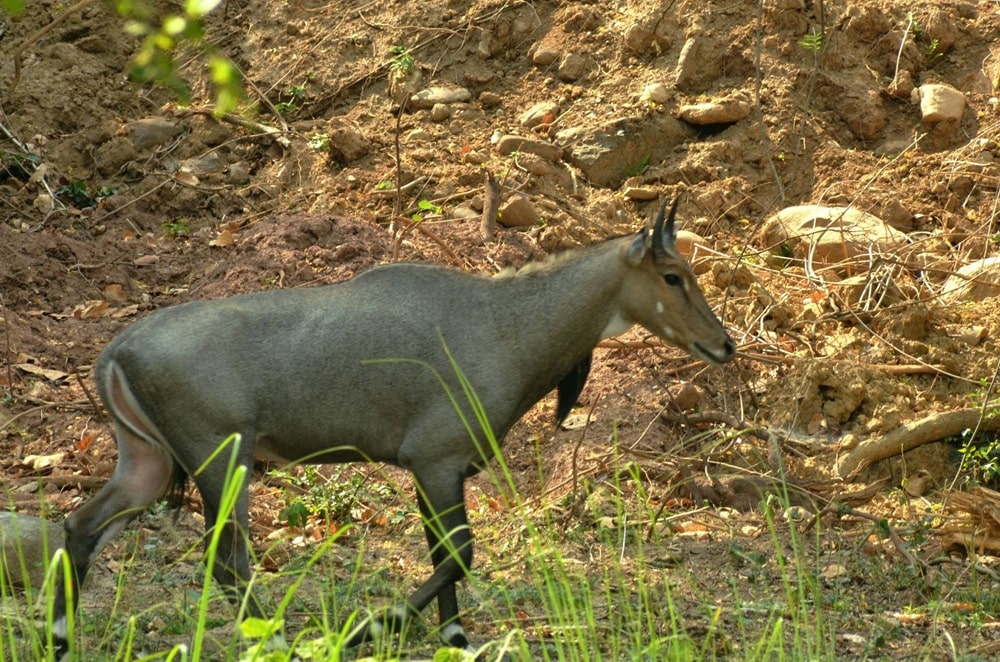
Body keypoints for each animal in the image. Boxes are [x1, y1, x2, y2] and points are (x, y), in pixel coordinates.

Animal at [52, 198, 736, 660]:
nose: (725, 344)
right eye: (672, 276)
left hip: (147, 461)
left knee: (81, 526)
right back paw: (275, 640)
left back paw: (60, 638)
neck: (506, 325)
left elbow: (446, 559)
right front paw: (369, 628)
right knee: (226, 561)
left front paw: (455, 639)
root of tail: (115, 352)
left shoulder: (435, 470)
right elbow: (459, 555)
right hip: (223, 458)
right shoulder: (437, 459)